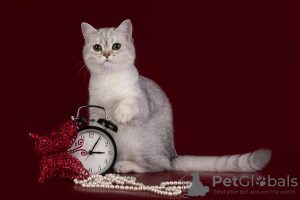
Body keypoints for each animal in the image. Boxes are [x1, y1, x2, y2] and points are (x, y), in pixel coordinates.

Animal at [81, 19, 270, 173]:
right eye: (97, 48)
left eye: (116, 46)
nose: (106, 54)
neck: (109, 80)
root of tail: (173, 156)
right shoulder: (95, 112)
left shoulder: (142, 103)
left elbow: (130, 102)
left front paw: (120, 114)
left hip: (140, 143)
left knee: (161, 166)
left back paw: (126, 165)